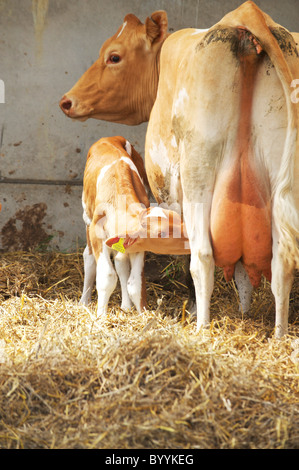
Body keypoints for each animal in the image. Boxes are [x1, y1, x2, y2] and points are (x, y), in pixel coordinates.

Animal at [81, 136, 190, 316]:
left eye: (177, 218)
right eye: (161, 233)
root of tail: (109, 138)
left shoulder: (138, 243)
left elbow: (135, 283)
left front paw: (142, 313)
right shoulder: (97, 234)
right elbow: (107, 276)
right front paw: (101, 315)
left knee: (121, 262)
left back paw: (125, 305)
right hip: (87, 218)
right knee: (89, 258)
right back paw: (84, 300)